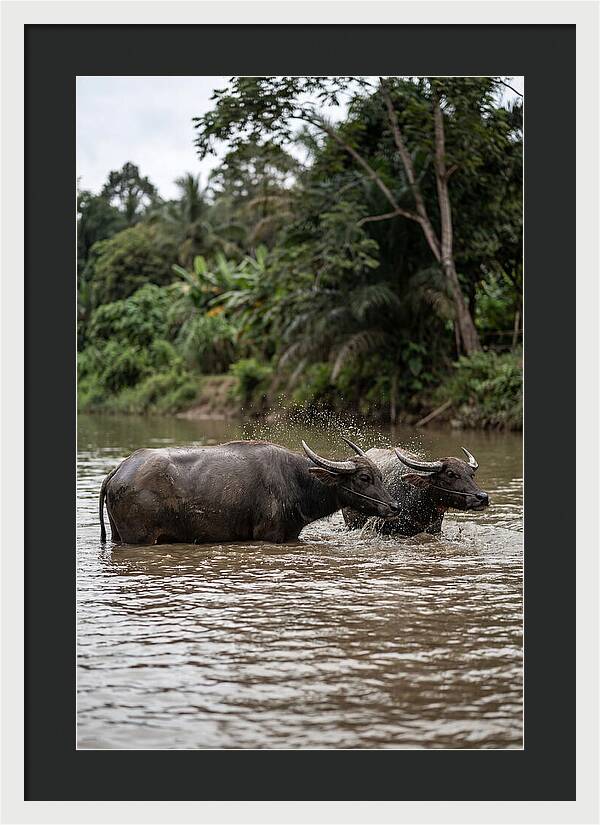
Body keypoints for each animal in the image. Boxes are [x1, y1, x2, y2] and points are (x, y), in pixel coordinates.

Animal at [99, 437, 400, 545]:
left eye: (380, 476)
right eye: (364, 477)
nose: (394, 506)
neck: (296, 481)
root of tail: (119, 470)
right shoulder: (270, 534)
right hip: (140, 538)